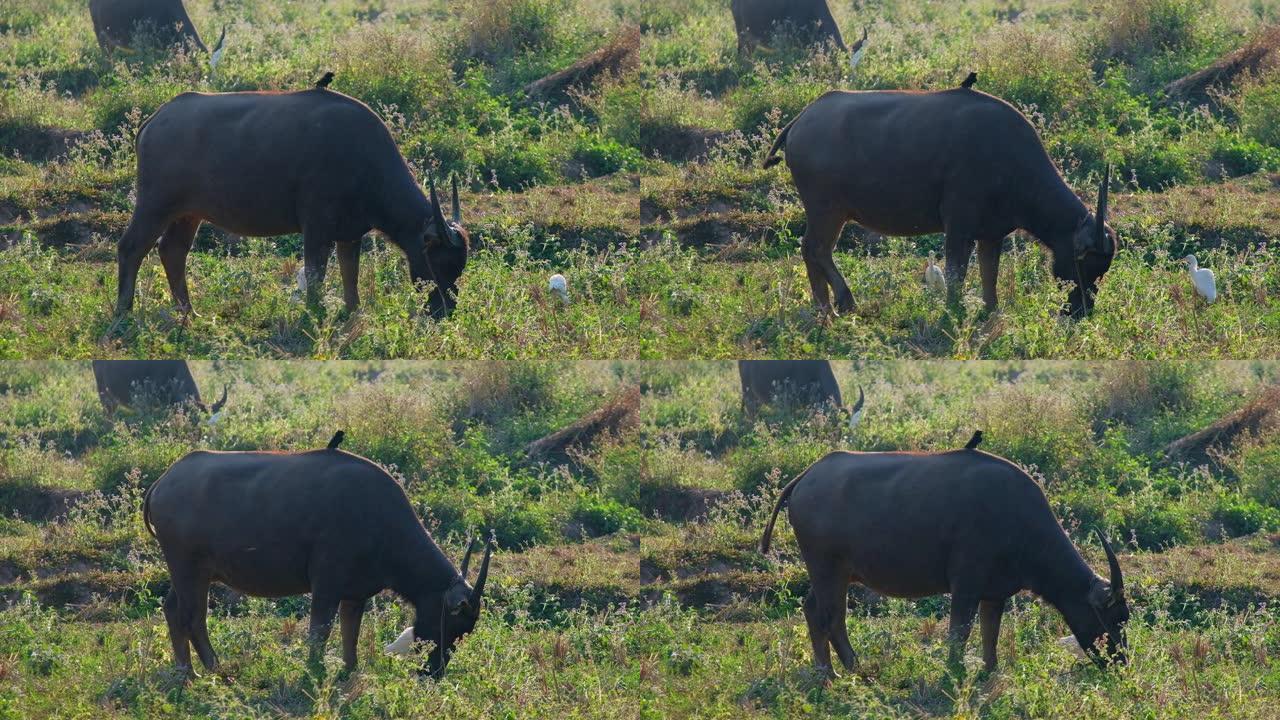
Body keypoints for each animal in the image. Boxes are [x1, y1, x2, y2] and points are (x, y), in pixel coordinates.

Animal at [112, 84, 468, 319]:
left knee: (172, 251)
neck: (365, 161)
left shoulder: (350, 233)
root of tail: (155, 120)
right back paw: (123, 314)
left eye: (460, 264)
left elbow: (349, 276)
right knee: (131, 247)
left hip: (188, 213)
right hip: (154, 204)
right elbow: (315, 275)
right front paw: (314, 315)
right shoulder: (317, 228)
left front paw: (352, 314)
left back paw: (189, 313)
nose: (445, 309)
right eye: (441, 262)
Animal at [142, 430, 491, 671]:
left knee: (173, 610)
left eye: (467, 630)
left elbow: (350, 636)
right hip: (188, 570)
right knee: (193, 617)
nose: (434, 672)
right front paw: (314, 672)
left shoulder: (355, 596)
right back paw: (215, 670)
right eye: (454, 624)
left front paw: (348, 672)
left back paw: (186, 672)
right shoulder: (326, 588)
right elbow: (319, 633)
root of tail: (163, 481)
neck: (380, 520)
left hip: (192, 574)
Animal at [757, 438, 1131, 671]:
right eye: (1115, 617)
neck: (1019, 521)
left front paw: (989, 671)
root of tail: (808, 475)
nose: (1122, 663)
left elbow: (990, 635)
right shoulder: (965, 585)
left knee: (812, 610)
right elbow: (959, 633)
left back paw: (828, 672)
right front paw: (954, 672)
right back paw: (851, 670)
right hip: (827, 569)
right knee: (831, 618)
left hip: (832, 574)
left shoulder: (994, 593)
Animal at [762, 88, 1116, 315]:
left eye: (1104, 268)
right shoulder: (958, 227)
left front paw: (990, 312)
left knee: (811, 250)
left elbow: (989, 274)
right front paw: (953, 310)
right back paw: (841, 303)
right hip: (827, 209)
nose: (1082, 311)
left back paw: (823, 306)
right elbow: (956, 272)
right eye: (1085, 262)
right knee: (815, 248)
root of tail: (801, 119)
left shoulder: (991, 234)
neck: (1012, 160)